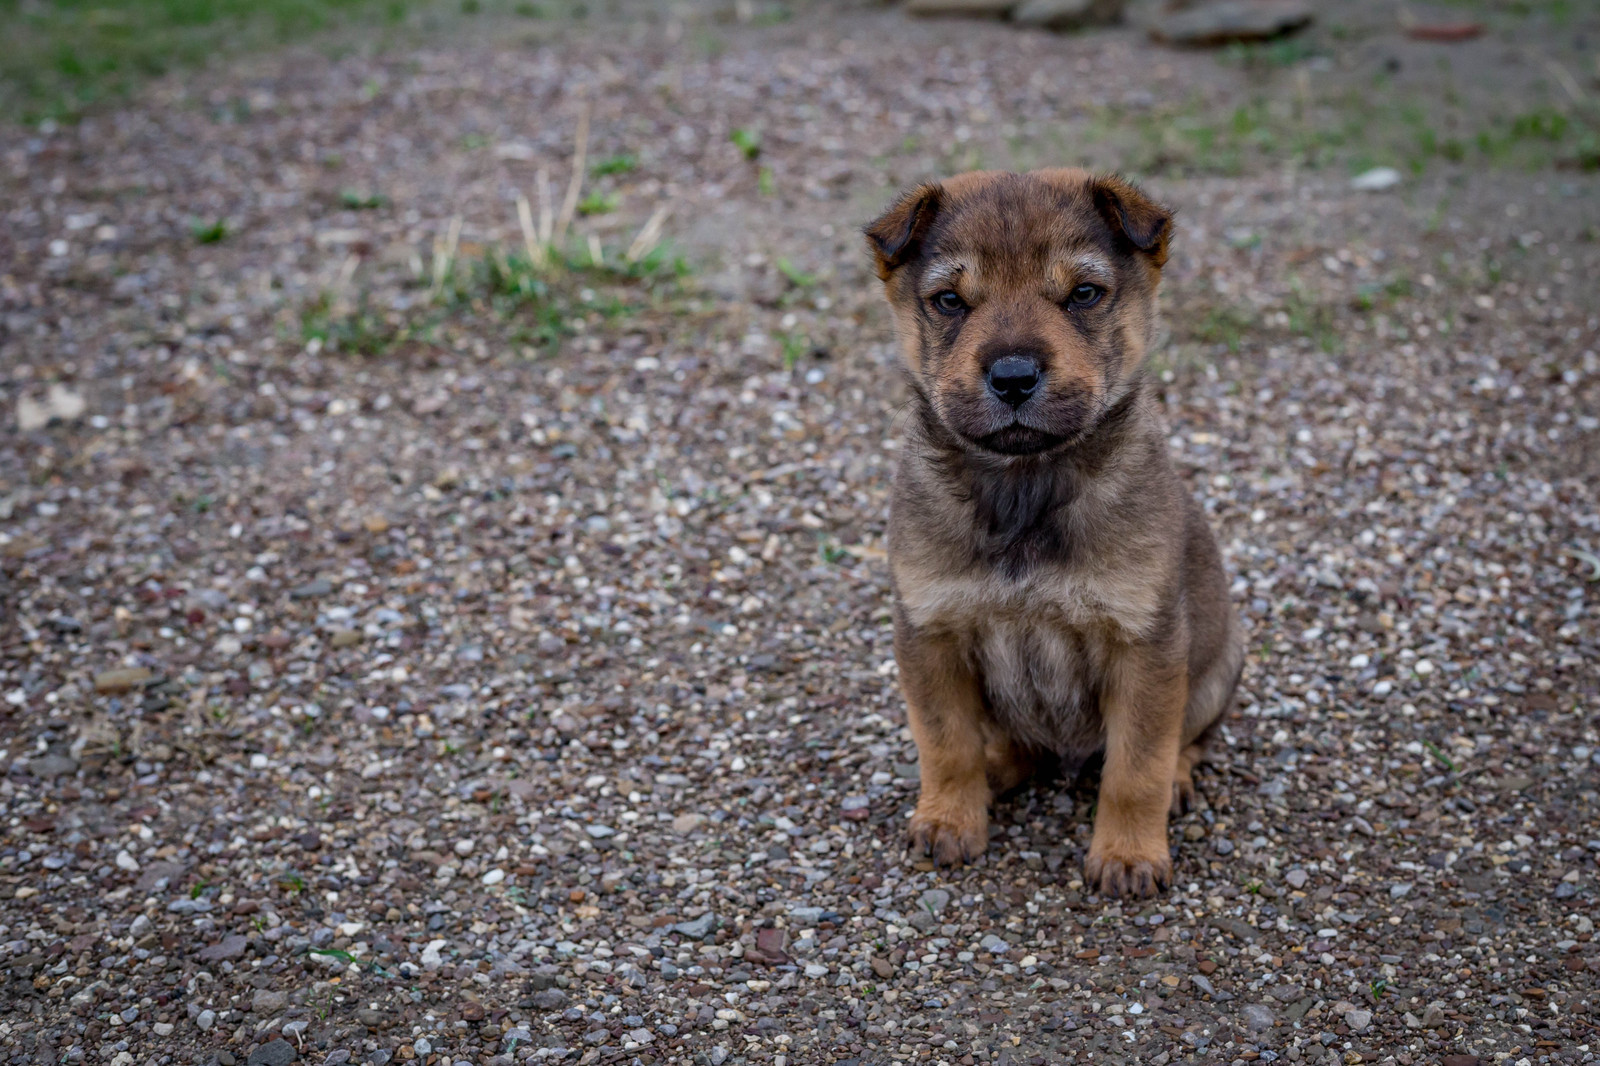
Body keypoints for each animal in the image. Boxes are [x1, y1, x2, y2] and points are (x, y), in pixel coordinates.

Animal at [864, 168, 1248, 896]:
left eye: (1084, 294)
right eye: (950, 301)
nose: (1013, 377)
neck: (1026, 487)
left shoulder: (1145, 645)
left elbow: (1137, 766)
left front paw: (1128, 854)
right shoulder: (929, 632)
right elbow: (946, 744)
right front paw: (949, 818)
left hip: (1217, 670)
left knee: (1188, 741)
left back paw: (1178, 783)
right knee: (1015, 745)